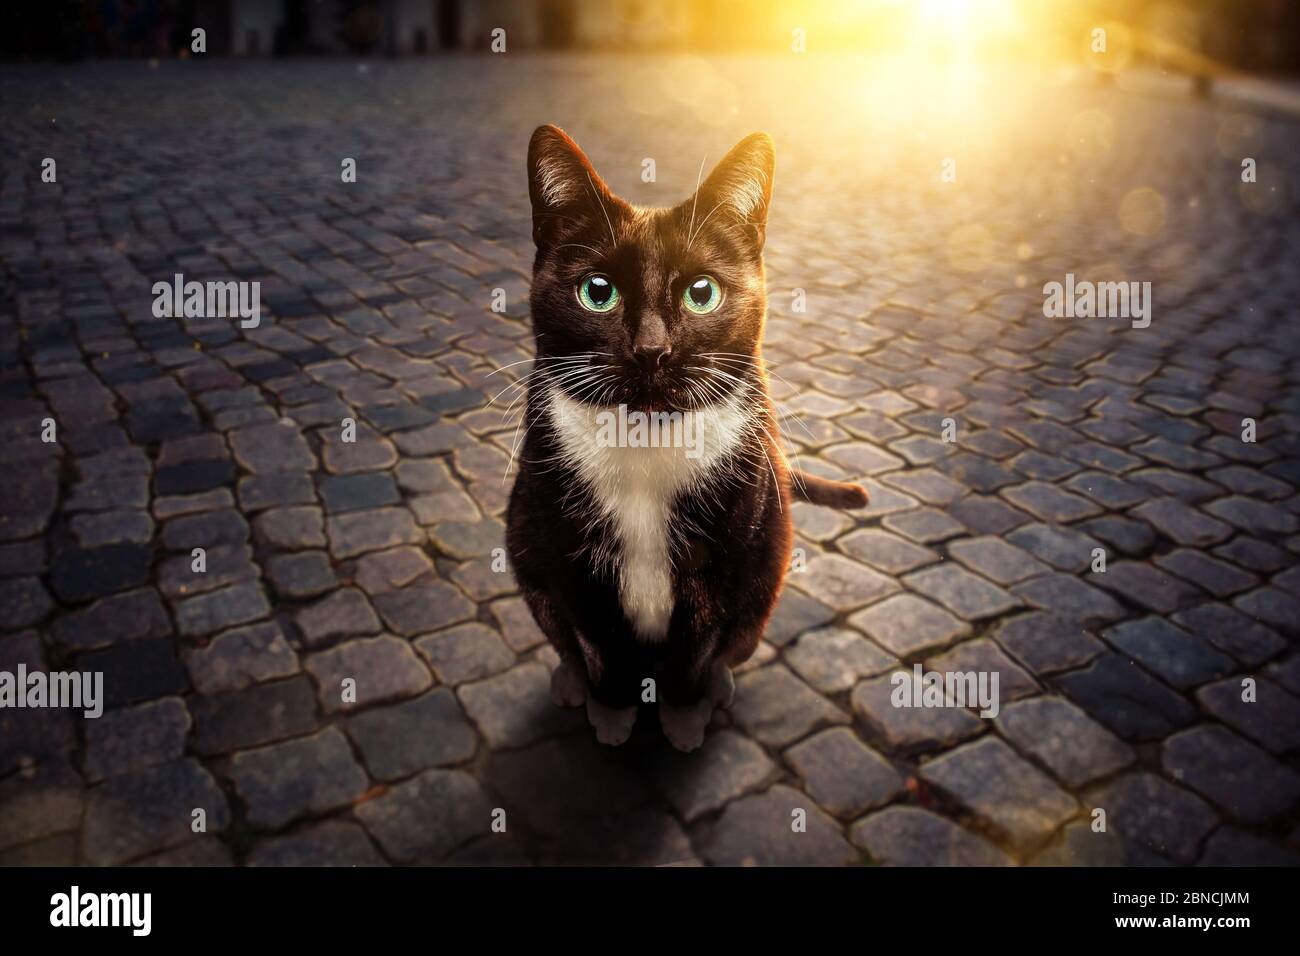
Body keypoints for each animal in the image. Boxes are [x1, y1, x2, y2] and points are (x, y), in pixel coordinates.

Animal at [504, 125, 863, 754]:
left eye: (703, 293)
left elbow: (694, 654)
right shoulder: (572, 559)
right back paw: (570, 683)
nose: (652, 349)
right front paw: (613, 715)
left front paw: (682, 718)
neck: (647, 441)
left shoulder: (725, 560)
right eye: (597, 291)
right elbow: (601, 649)